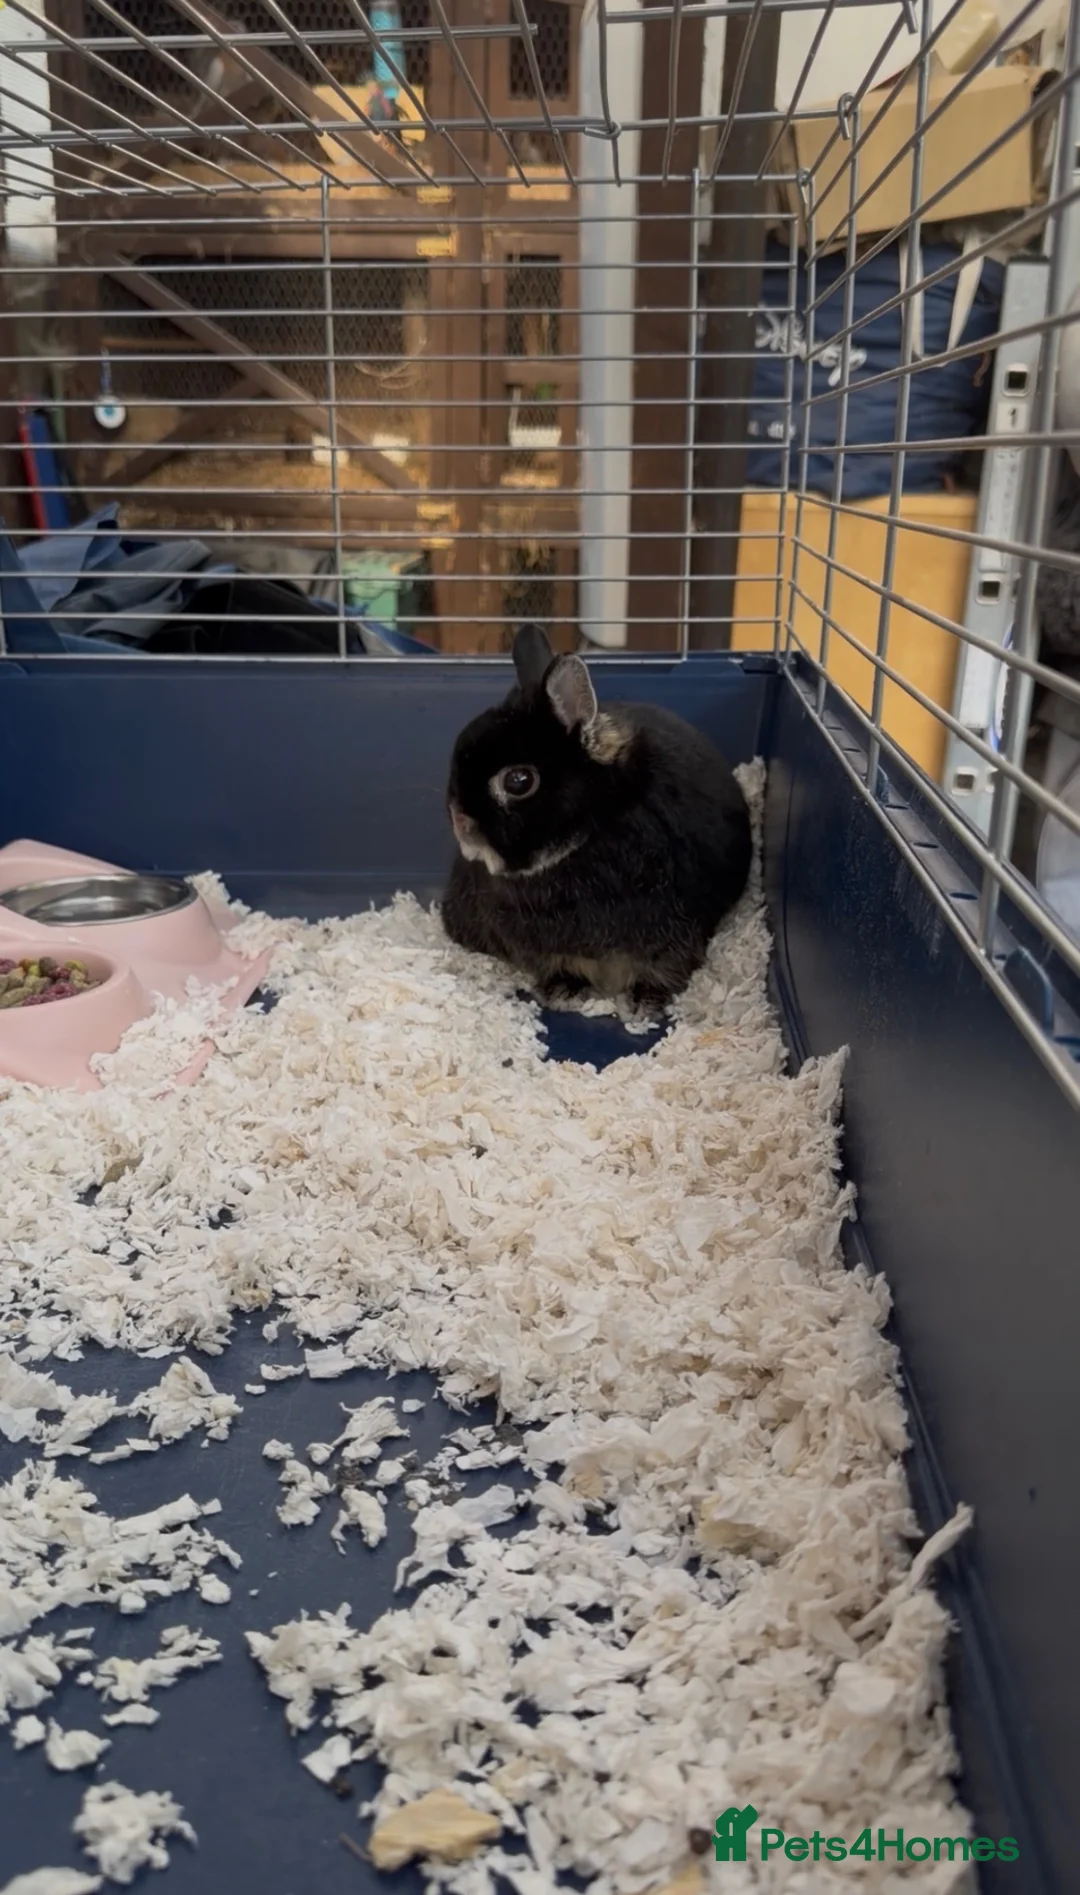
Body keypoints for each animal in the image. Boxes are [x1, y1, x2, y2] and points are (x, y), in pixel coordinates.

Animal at [440, 624, 752, 1012]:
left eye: (518, 781)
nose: (459, 821)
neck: (591, 828)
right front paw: (562, 990)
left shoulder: (676, 936)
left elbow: (665, 968)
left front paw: (646, 1001)